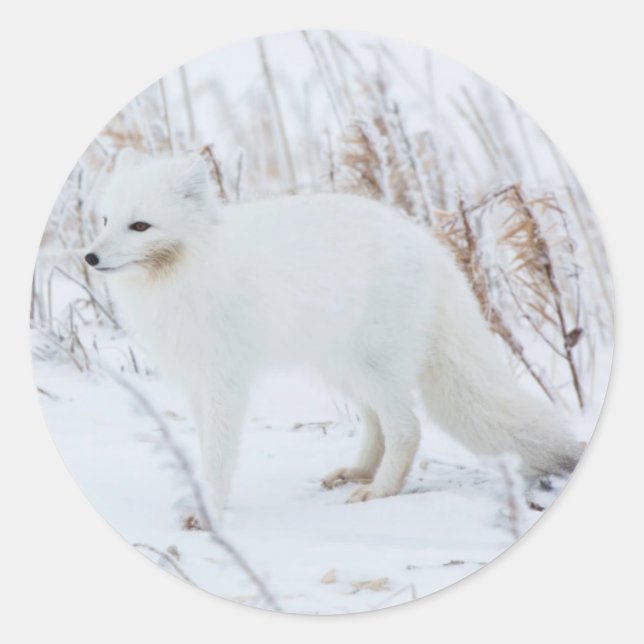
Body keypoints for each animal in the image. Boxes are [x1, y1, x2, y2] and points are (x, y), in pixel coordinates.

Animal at [85, 148, 582, 518]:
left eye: (140, 226)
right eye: (105, 220)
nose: (89, 257)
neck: (186, 273)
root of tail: (429, 246)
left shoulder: (227, 383)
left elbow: (220, 454)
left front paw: (210, 509)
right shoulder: (196, 382)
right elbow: (207, 445)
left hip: (372, 366)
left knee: (406, 427)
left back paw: (379, 491)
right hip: (342, 368)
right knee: (377, 424)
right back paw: (358, 473)